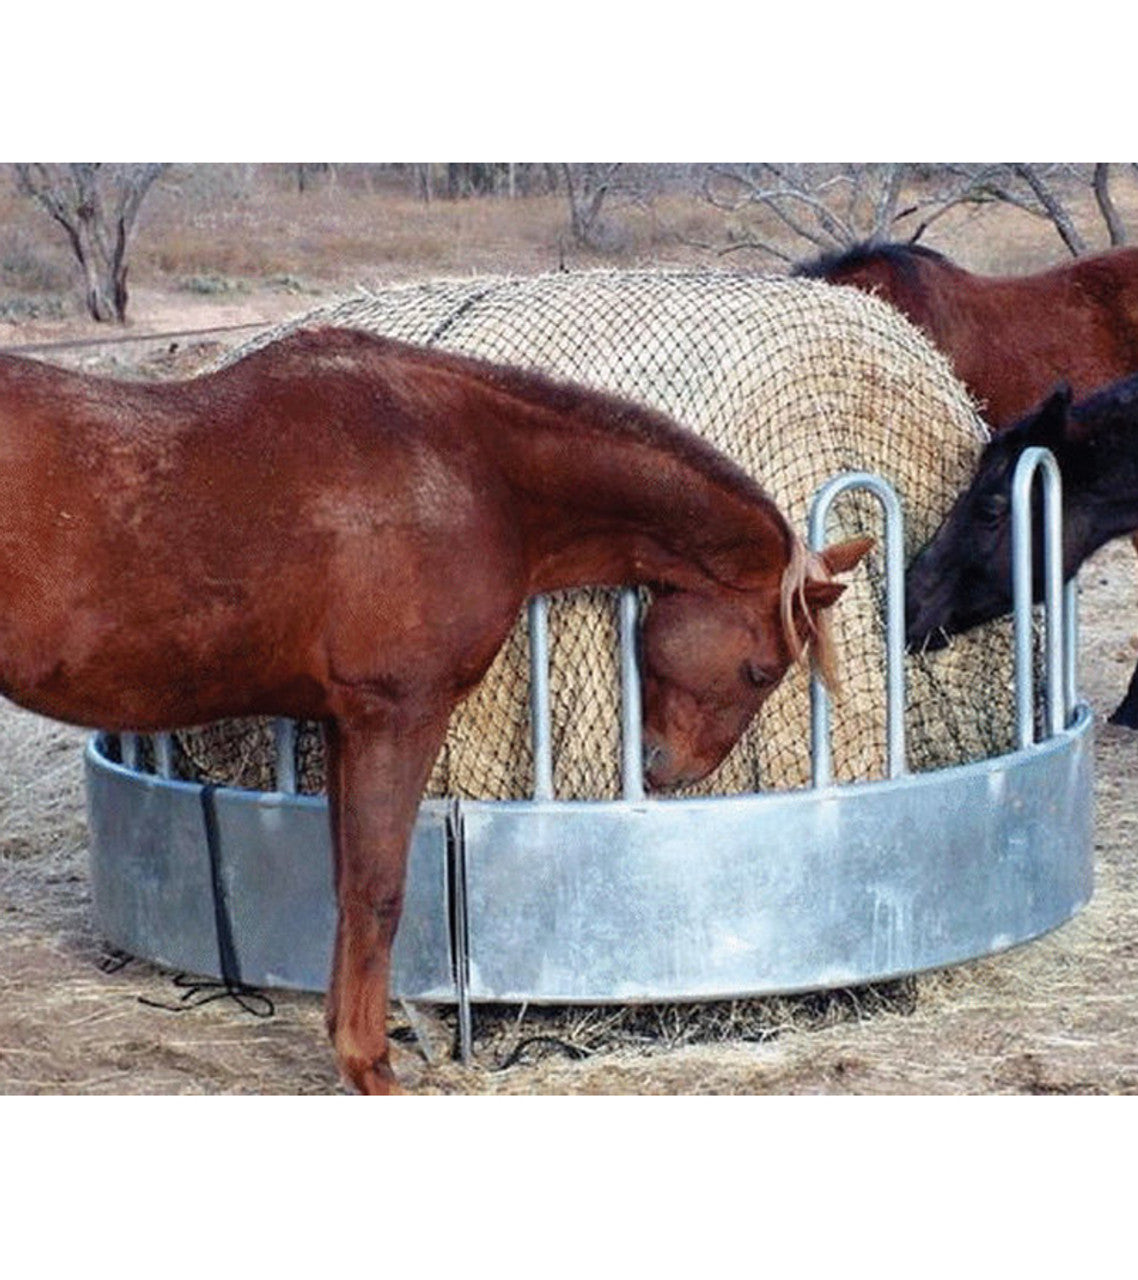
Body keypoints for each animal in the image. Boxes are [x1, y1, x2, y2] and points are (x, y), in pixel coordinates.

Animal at [0, 327, 870, 1093]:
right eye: (762, 669)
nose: (665, 768)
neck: (474, 472)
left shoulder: (344, 724)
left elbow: (349, 883)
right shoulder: (398, 716)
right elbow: (379, 892)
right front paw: (372, 1068)